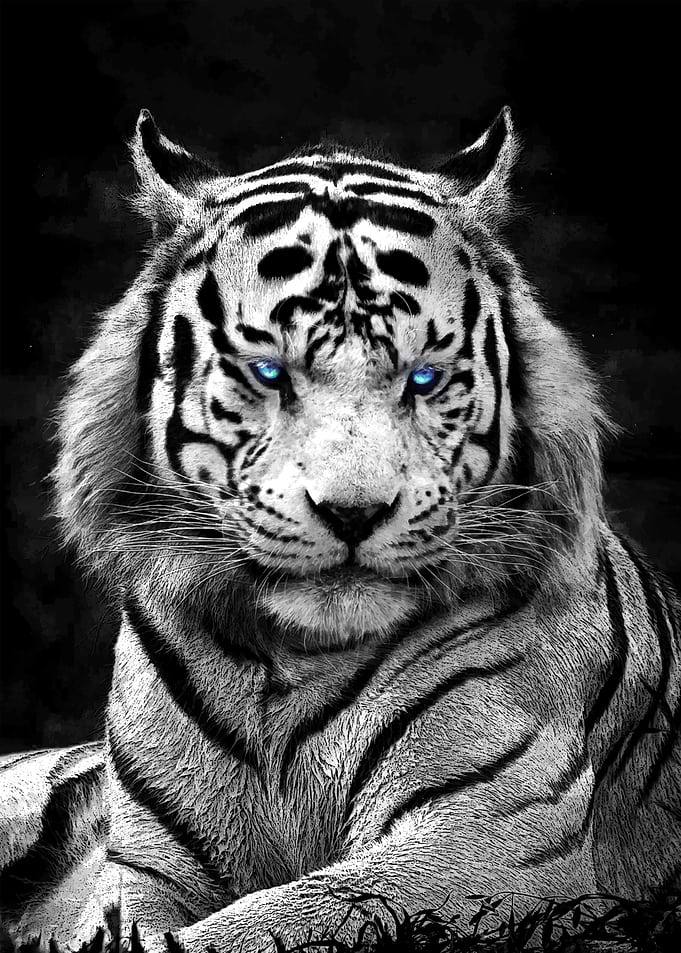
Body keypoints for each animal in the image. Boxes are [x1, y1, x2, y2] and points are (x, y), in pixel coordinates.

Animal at [1, 105, 680, 953]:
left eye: (424, 376)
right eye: (267, 371)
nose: (354, 511)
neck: (287, 664)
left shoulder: (490, 839)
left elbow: (278, 916)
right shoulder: (146, 865)